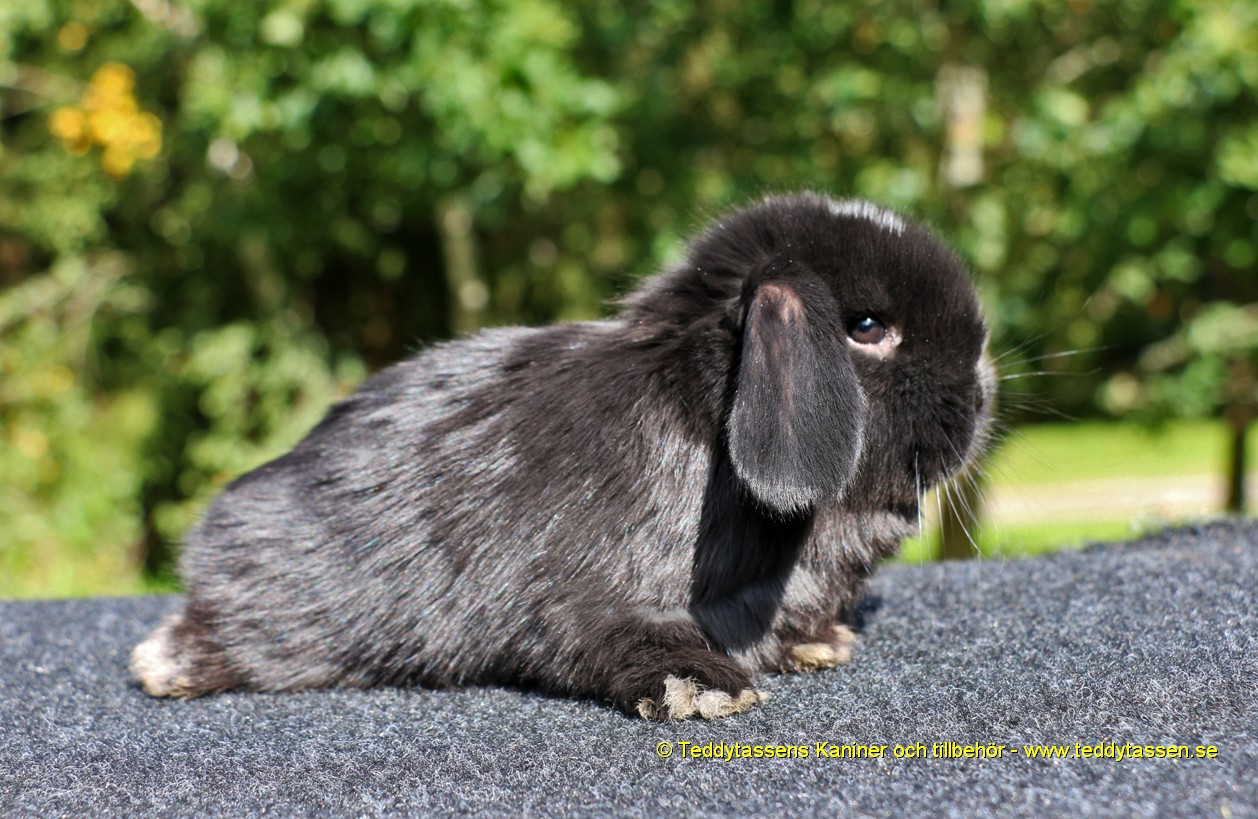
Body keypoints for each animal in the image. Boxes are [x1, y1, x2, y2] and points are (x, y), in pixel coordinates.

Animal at [130, 192, 991, 719]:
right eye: (868, 327)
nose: (983, 392)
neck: (699, 425)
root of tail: (216, 526)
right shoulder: (590, 600)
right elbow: (621, 641)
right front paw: (706, 690)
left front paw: (820, 643)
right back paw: (164, 664)